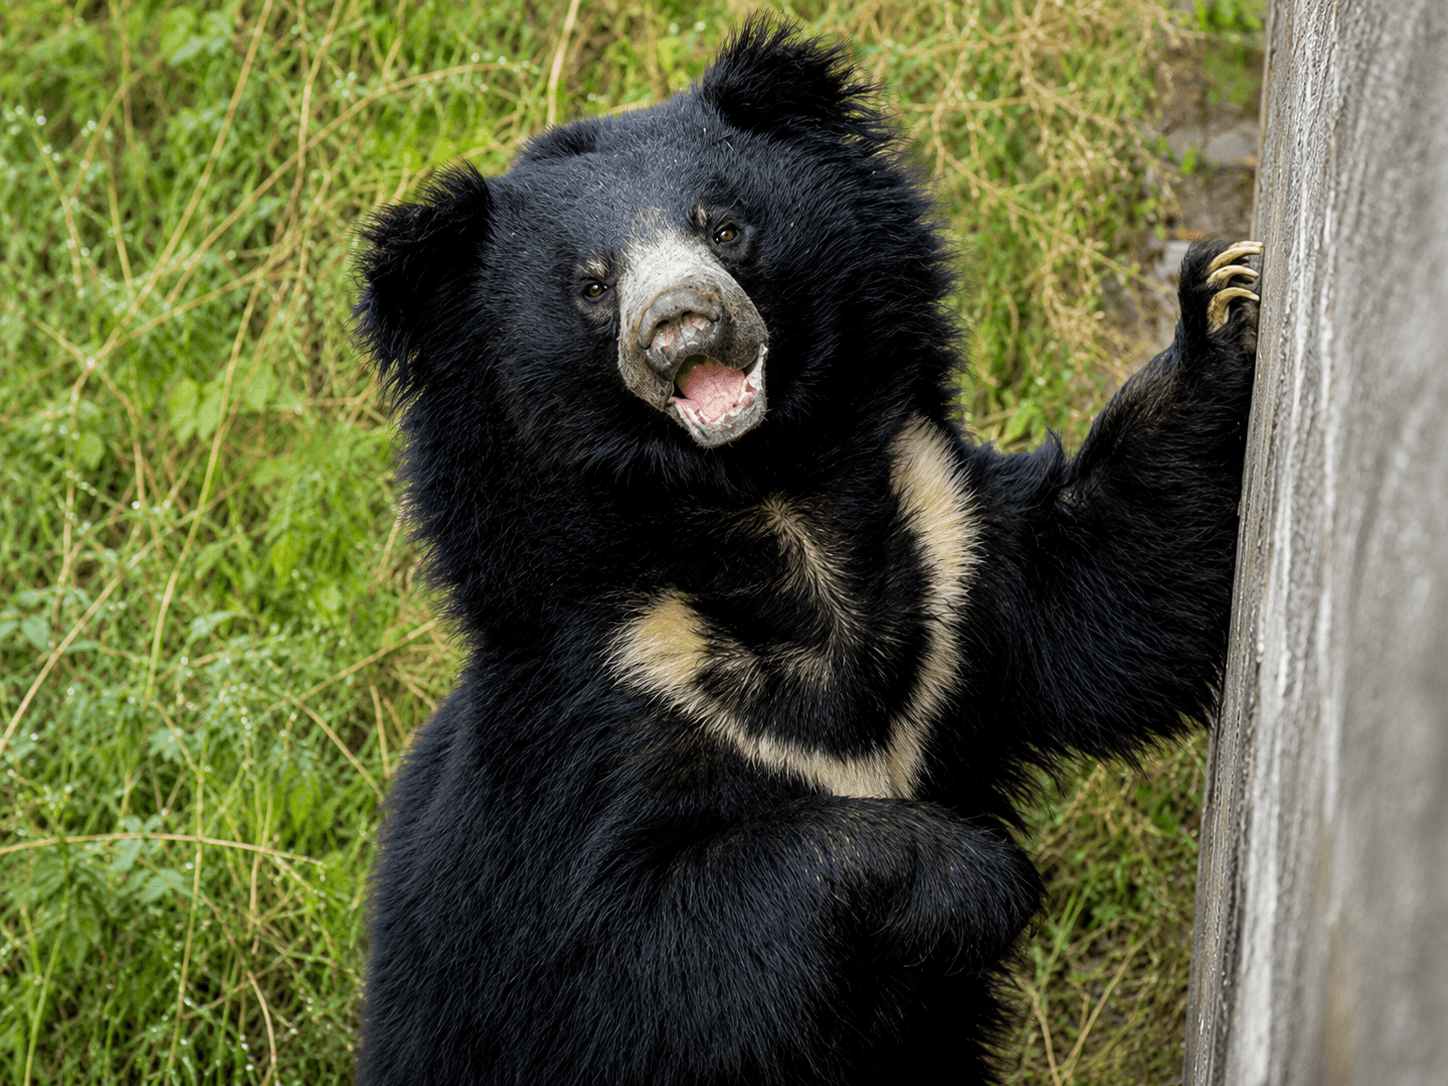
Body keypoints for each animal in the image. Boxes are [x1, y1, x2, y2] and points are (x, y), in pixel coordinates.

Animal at [351, 19, 1261, 1086]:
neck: (766, 499)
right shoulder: (599, 704)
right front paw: (979, 876)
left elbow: (1110, 592)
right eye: (592, 285)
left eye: (723, 228)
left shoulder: (954, 557)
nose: (681, 324)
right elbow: (630, 954)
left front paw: (1225, 302)